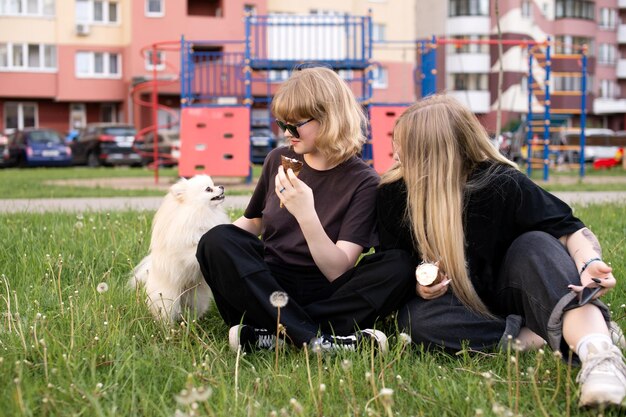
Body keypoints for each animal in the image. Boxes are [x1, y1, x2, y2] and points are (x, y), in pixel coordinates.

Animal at [130, 175, 228, 322]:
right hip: (168, 298)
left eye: (214, 184)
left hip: (196, 298)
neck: (200, 211)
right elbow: (194, 247)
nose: (221, 186)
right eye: (208, 189)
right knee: (166, 314)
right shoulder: (184, 249)